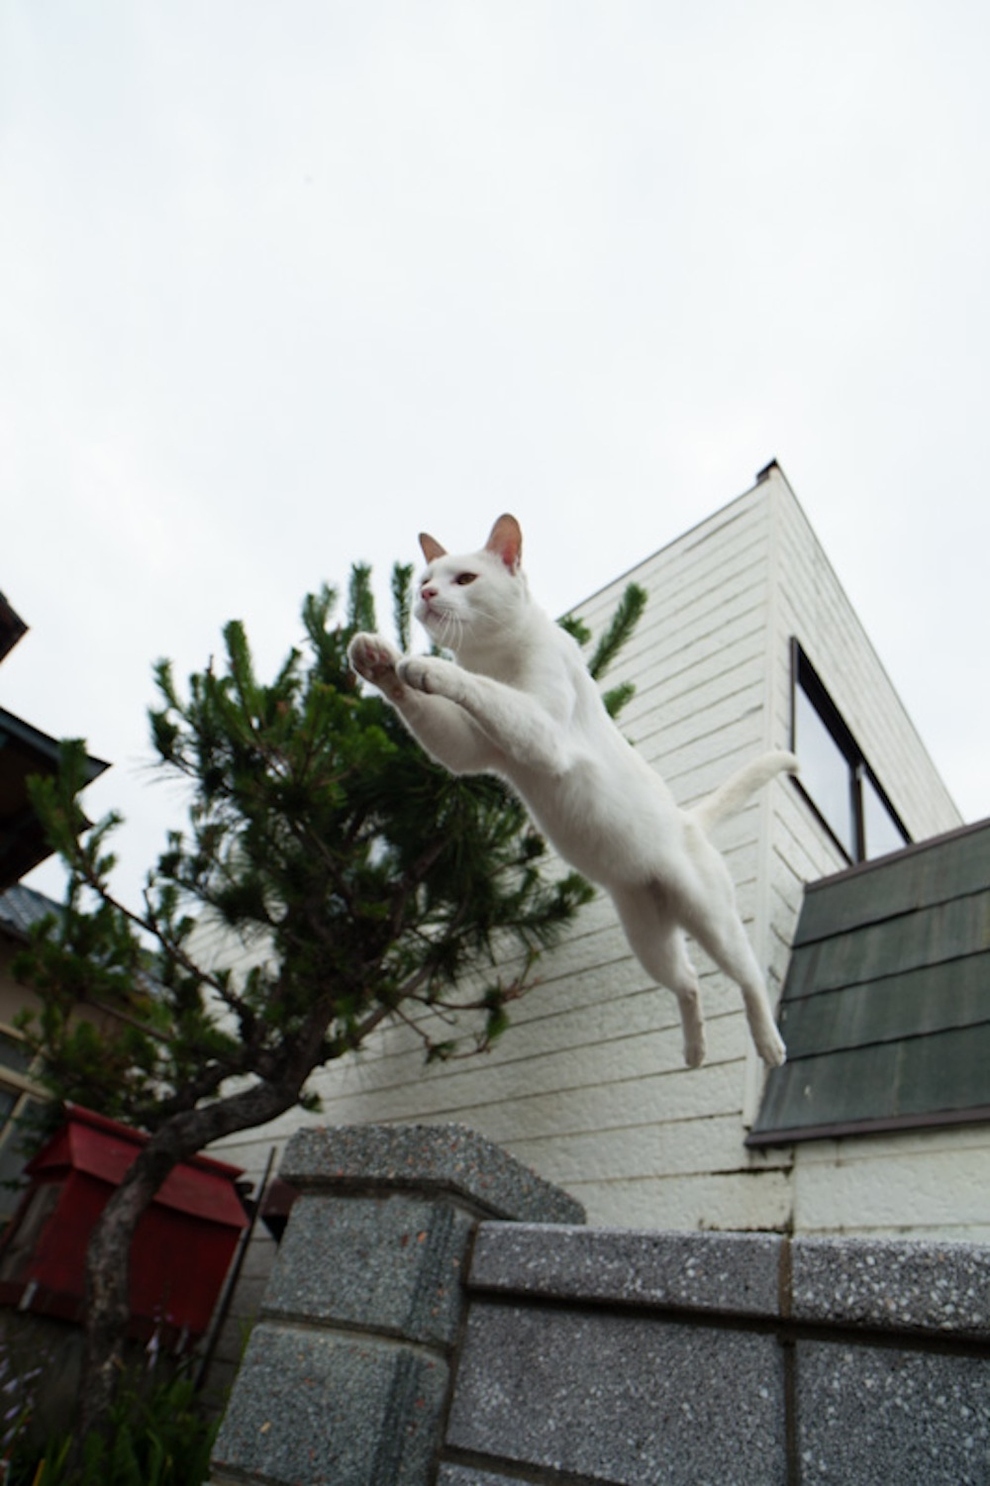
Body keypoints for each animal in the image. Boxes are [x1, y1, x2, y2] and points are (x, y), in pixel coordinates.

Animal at [346, 514, 796, 1069]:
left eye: (464, 579)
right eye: (425, 578)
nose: (427, 593)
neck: (493, 657)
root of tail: (689, 821)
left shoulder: (542, 733)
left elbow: (483, 690)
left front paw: (425, 666)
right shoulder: (471, 748)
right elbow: (440, 708)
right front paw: (377, 661)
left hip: (712, 921)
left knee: (748, 974)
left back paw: (768, 1044)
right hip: (649, 939)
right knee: (688, 981)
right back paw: (694, 1050)